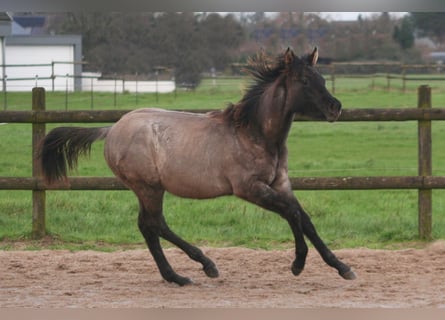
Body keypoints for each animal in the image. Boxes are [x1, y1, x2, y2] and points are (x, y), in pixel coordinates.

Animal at [40, 47, 356, 284]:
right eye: (304, 80)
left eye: (321, 78)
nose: (336, 108)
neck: (254, 133)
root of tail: (111, 129)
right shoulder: (249, 189)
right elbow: (292, 214)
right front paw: (298, 264)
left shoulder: (281, 183)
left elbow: (305, 218)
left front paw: (342, 267)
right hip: (148, 187)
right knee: (152, 224)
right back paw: (194, 270)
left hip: (148, 189)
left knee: (151, 225)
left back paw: (185, 272)